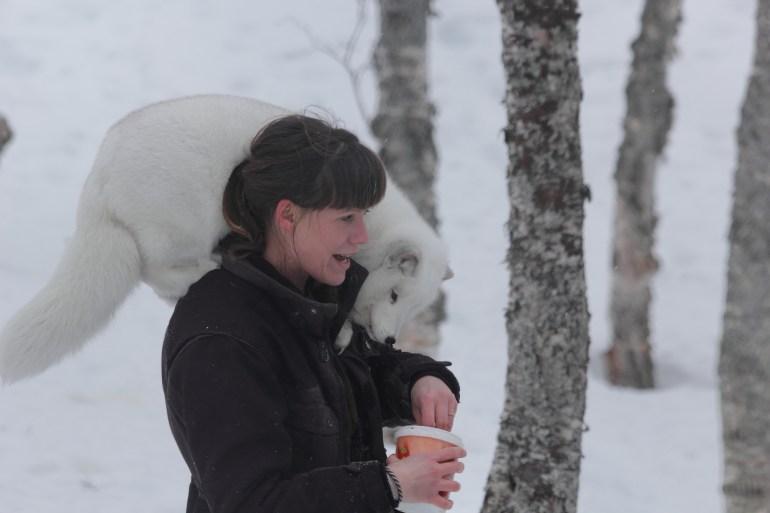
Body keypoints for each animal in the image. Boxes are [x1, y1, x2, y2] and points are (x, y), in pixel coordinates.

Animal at [0, 95, 451, 384]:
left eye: (412, 307)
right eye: (394, 294)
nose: (390, 340)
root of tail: (99, 179)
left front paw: (342, 335)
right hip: (188, 220)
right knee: (154, 270)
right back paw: (205, 267)